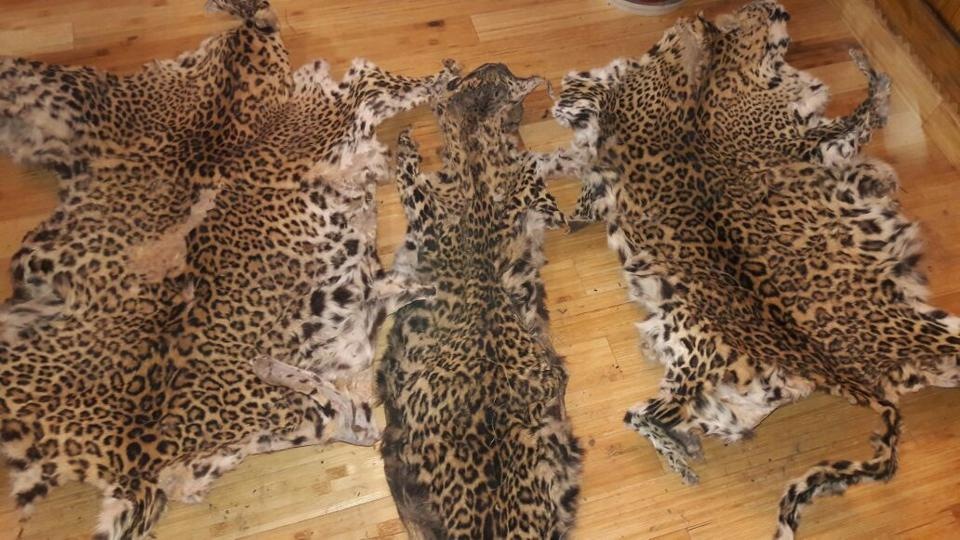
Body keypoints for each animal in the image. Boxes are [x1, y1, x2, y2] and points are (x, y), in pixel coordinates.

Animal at [552, 1, 959, 537]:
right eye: (757, 14)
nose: (778, 7)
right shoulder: (815, 140)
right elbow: (863, 114)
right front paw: (870, 72)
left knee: (671, 417)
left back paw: (689, 443)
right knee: (637, 414)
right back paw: (682, 456)